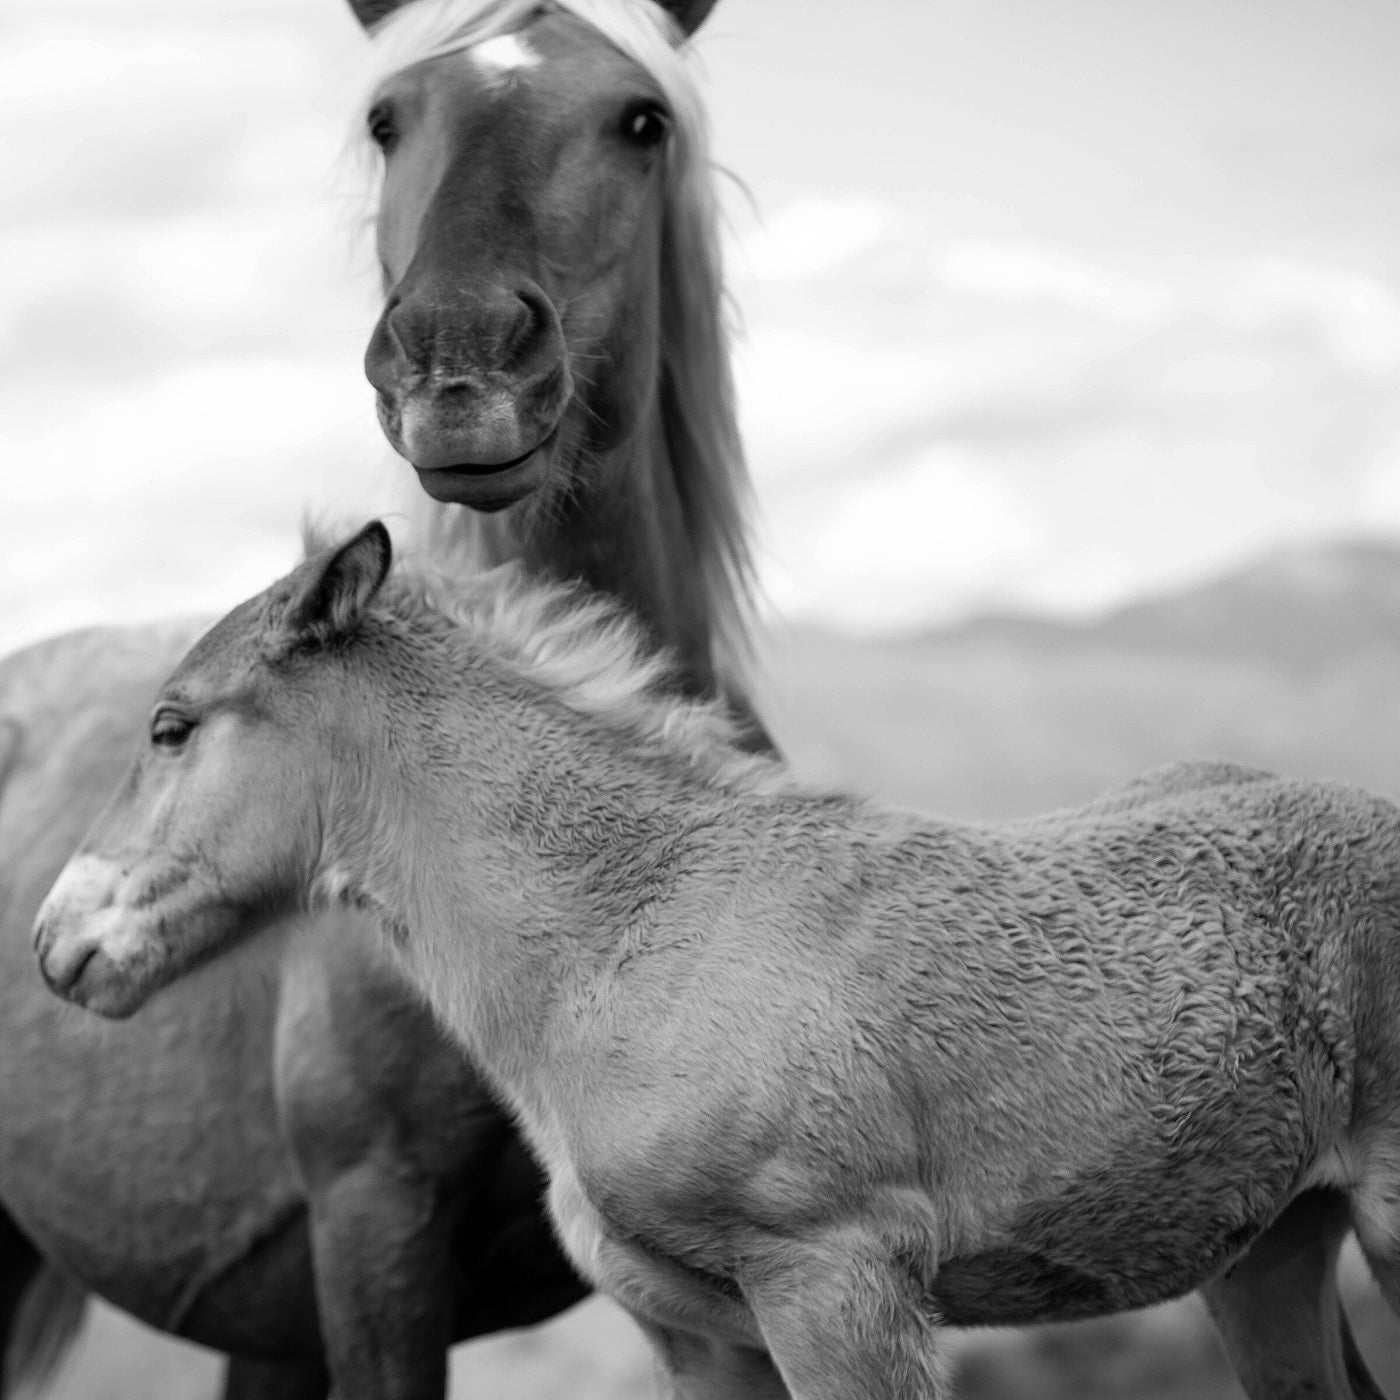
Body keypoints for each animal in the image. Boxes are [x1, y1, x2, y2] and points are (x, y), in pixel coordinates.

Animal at [35, 519, 1400, 1400]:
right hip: (1269, 1250)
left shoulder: (837, 1285)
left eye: (171, 725)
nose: (56, 940)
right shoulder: (698, 1336)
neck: (630, 934)